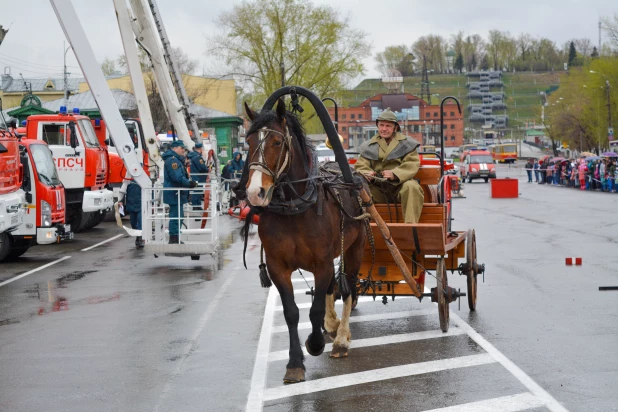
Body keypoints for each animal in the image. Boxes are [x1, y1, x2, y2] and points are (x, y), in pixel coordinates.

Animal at [241, 100, 366, 384]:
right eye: (248, 141)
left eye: (277, 142)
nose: (255, 192)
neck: (295, 208)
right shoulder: (278, 266)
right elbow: (292, 312)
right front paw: (295, 363)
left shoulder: (321, 263)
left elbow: (315, 308)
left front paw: (316, 343)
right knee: (333, 287)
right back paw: (332, 326)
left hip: (355, 248)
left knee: (349, 288)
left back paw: (341, 338)